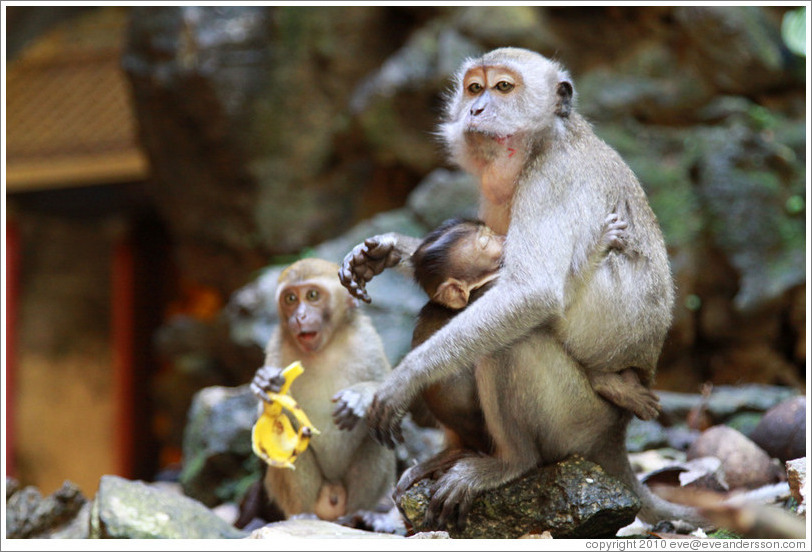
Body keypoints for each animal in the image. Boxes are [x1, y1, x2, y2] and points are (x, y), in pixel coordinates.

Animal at [412, 213, 660, 420]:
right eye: (485, 242)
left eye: (490, 234)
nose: (504, 238)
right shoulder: (494, 281)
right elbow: (546, 298)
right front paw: (599, 243)